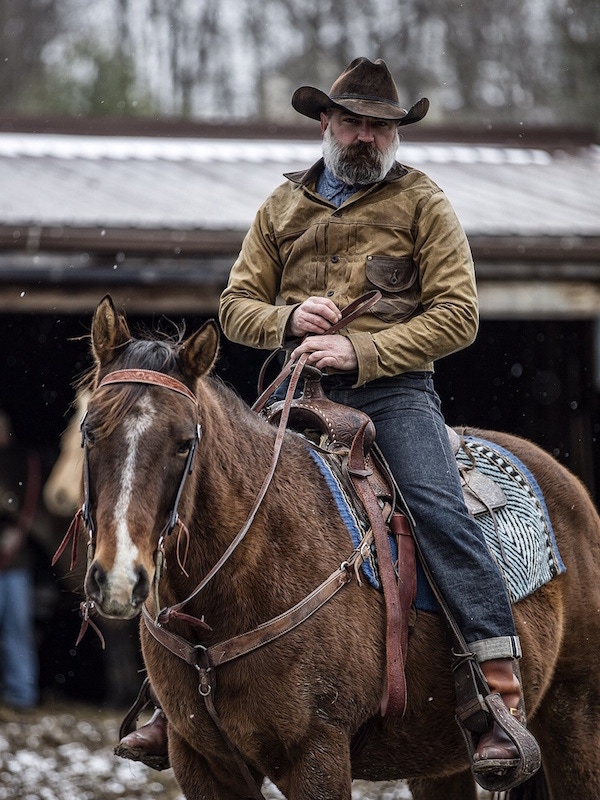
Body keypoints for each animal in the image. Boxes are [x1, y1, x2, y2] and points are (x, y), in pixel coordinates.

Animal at [64, 296, 600, 800]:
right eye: (90, 431)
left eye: (183, 443)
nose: (118, 579)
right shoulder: (198, 760)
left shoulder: (316, 753)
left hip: (575, 717)